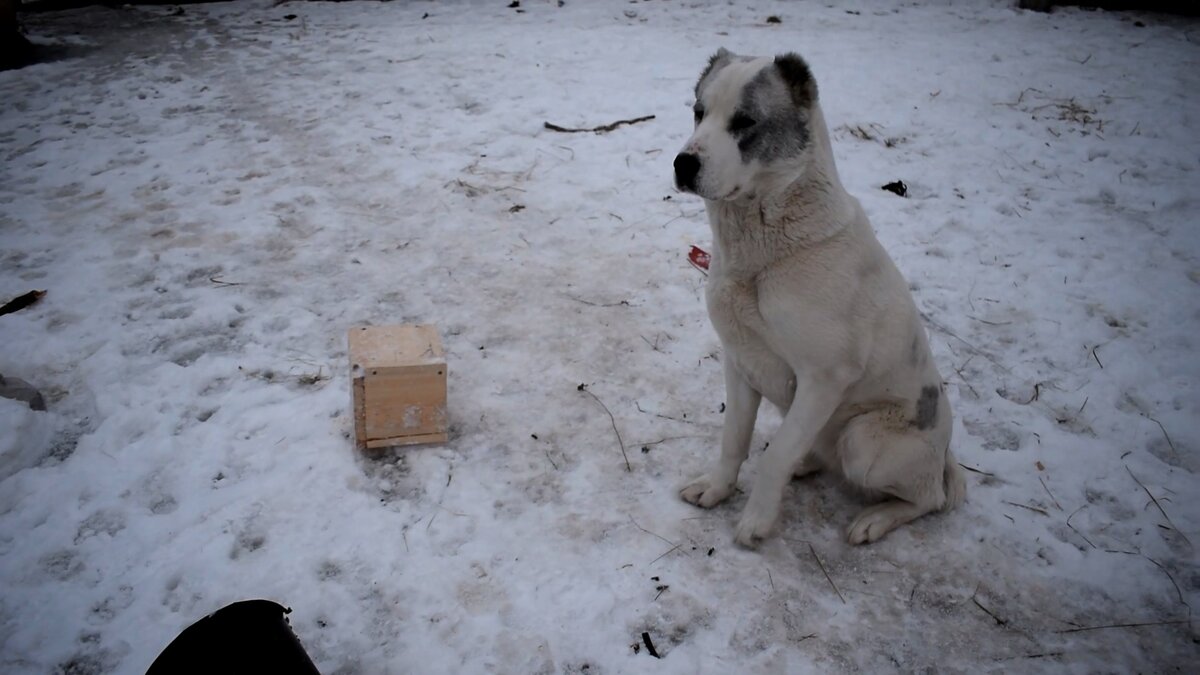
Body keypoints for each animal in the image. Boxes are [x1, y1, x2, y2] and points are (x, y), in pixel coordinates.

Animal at [676, 49, 964, 542]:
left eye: (745, 121)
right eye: (699, 112)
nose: (683, 163)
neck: (762, 256)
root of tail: (943, 454)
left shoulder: (823, 377)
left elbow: (774, 455)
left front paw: (756, 521)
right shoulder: (741, 361)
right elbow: (734, 440)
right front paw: (716, 490)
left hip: (863, 439)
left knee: (930, 498)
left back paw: (874, 520)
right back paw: (808, 465)